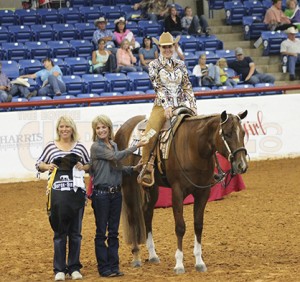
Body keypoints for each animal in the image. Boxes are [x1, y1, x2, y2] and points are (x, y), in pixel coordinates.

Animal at [115, 110, 248, 274]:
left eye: (243, 133)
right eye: (228, 133)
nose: (242, 165)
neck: (193, 147)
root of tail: (122, 129)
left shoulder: (203, 192)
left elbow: (198, 225)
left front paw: (199, 262)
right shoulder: (177, 192)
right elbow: (180, 227)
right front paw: (179, 264)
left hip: (152, 187)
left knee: (147, 213)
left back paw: (153, 255)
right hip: (128, 183)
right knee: (132, 216)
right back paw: (136, 255)